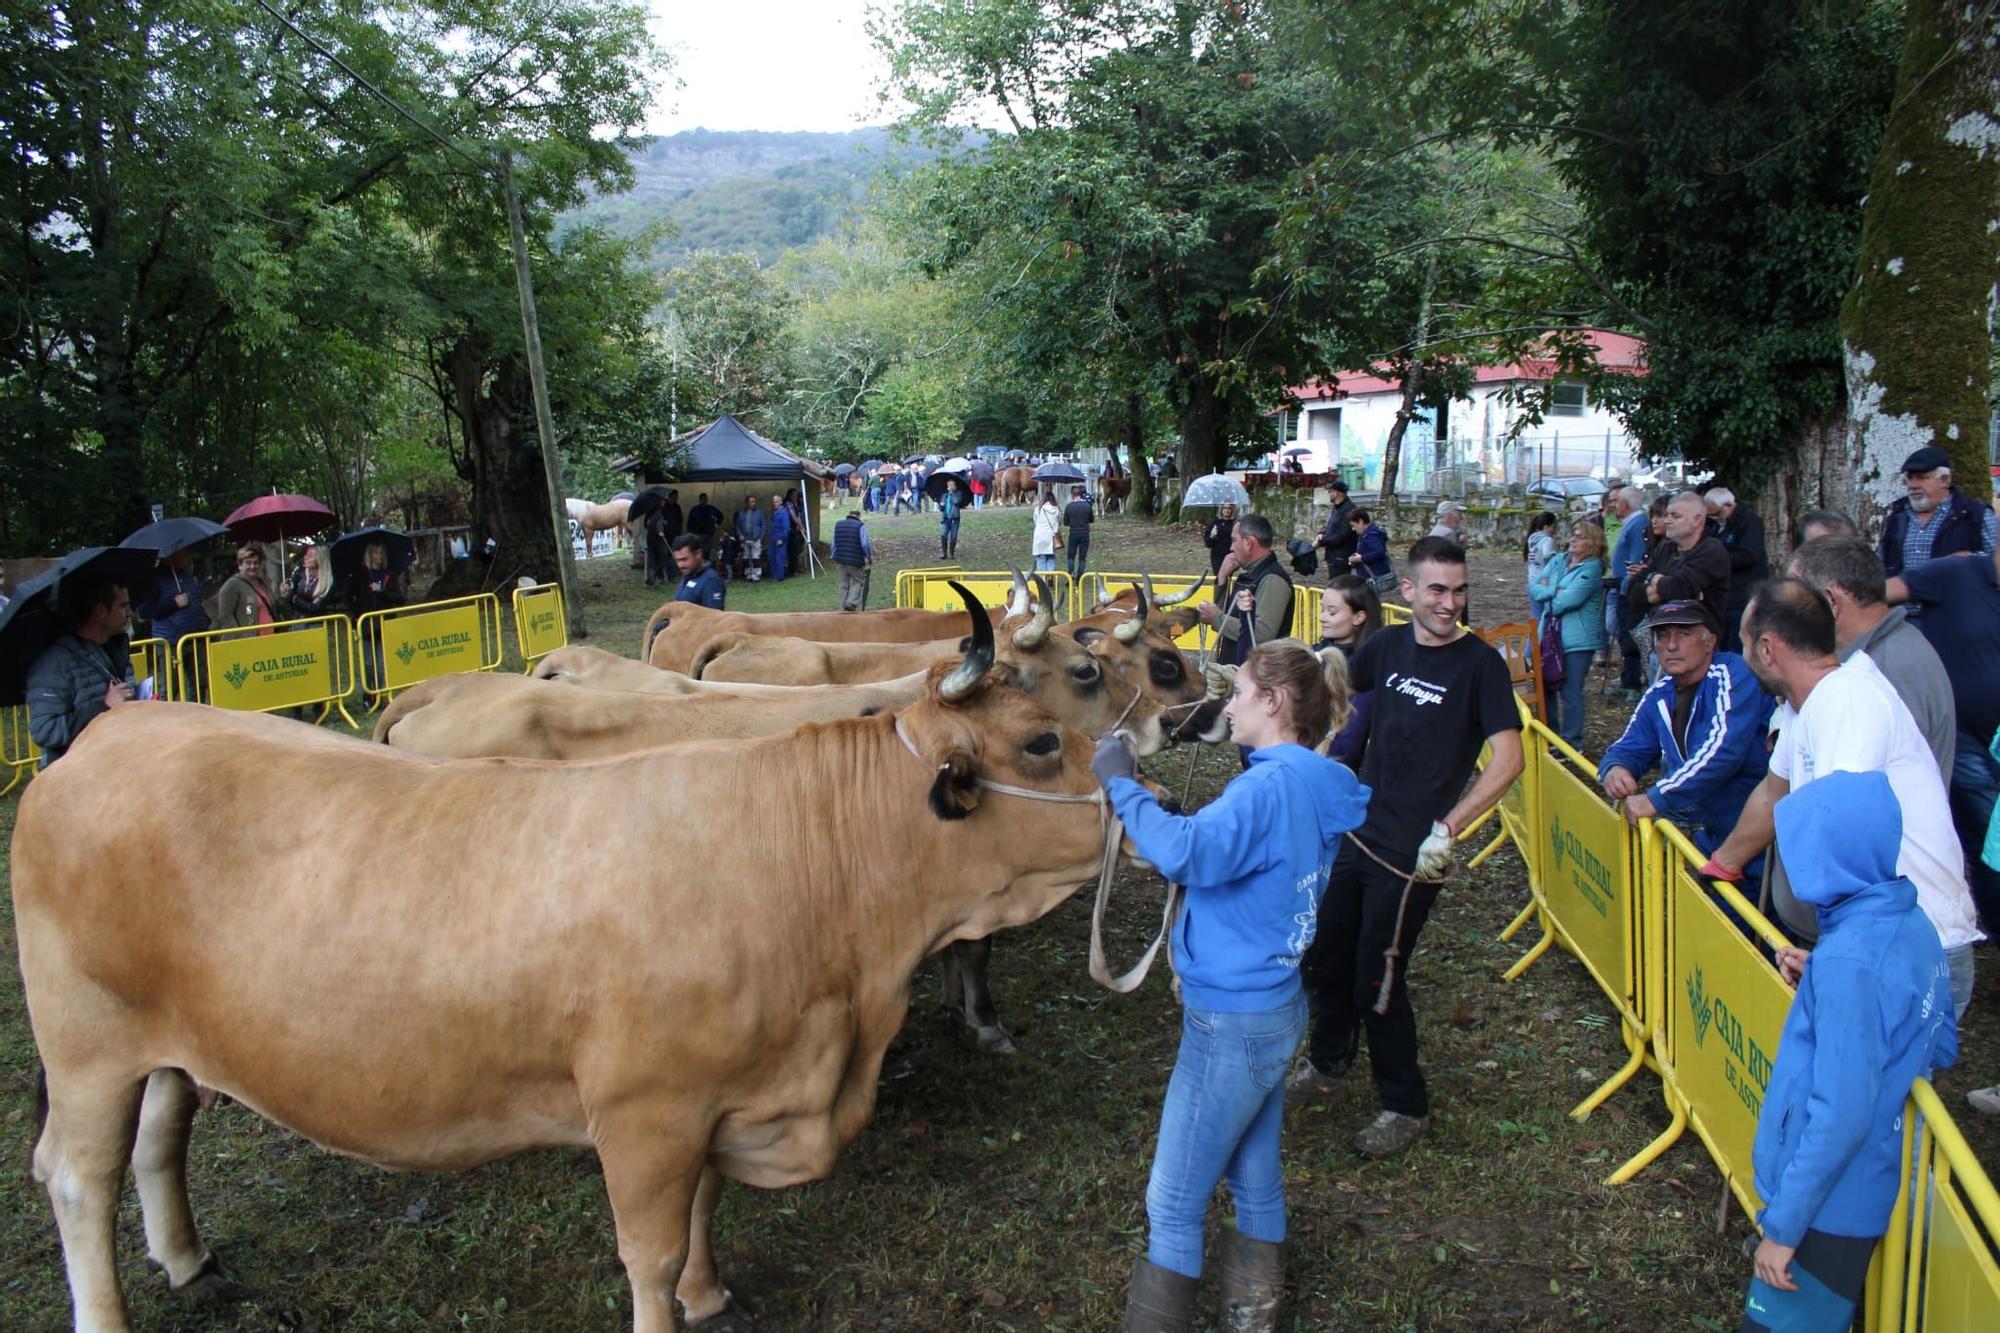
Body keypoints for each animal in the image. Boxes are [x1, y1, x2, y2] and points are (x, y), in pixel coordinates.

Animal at [15, 600, 1136, 1328]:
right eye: (1042, 741)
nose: (1153, 796)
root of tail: (113, 729)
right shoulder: (642, 1110)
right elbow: (648, 1249)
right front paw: (674, 1300)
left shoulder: (715, 1095)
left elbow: (701, 1211)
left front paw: (709, 1294)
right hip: (84, 1048)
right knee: (77, 1179)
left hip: (167, 1038)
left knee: (160, 1133)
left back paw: (190, 1259)